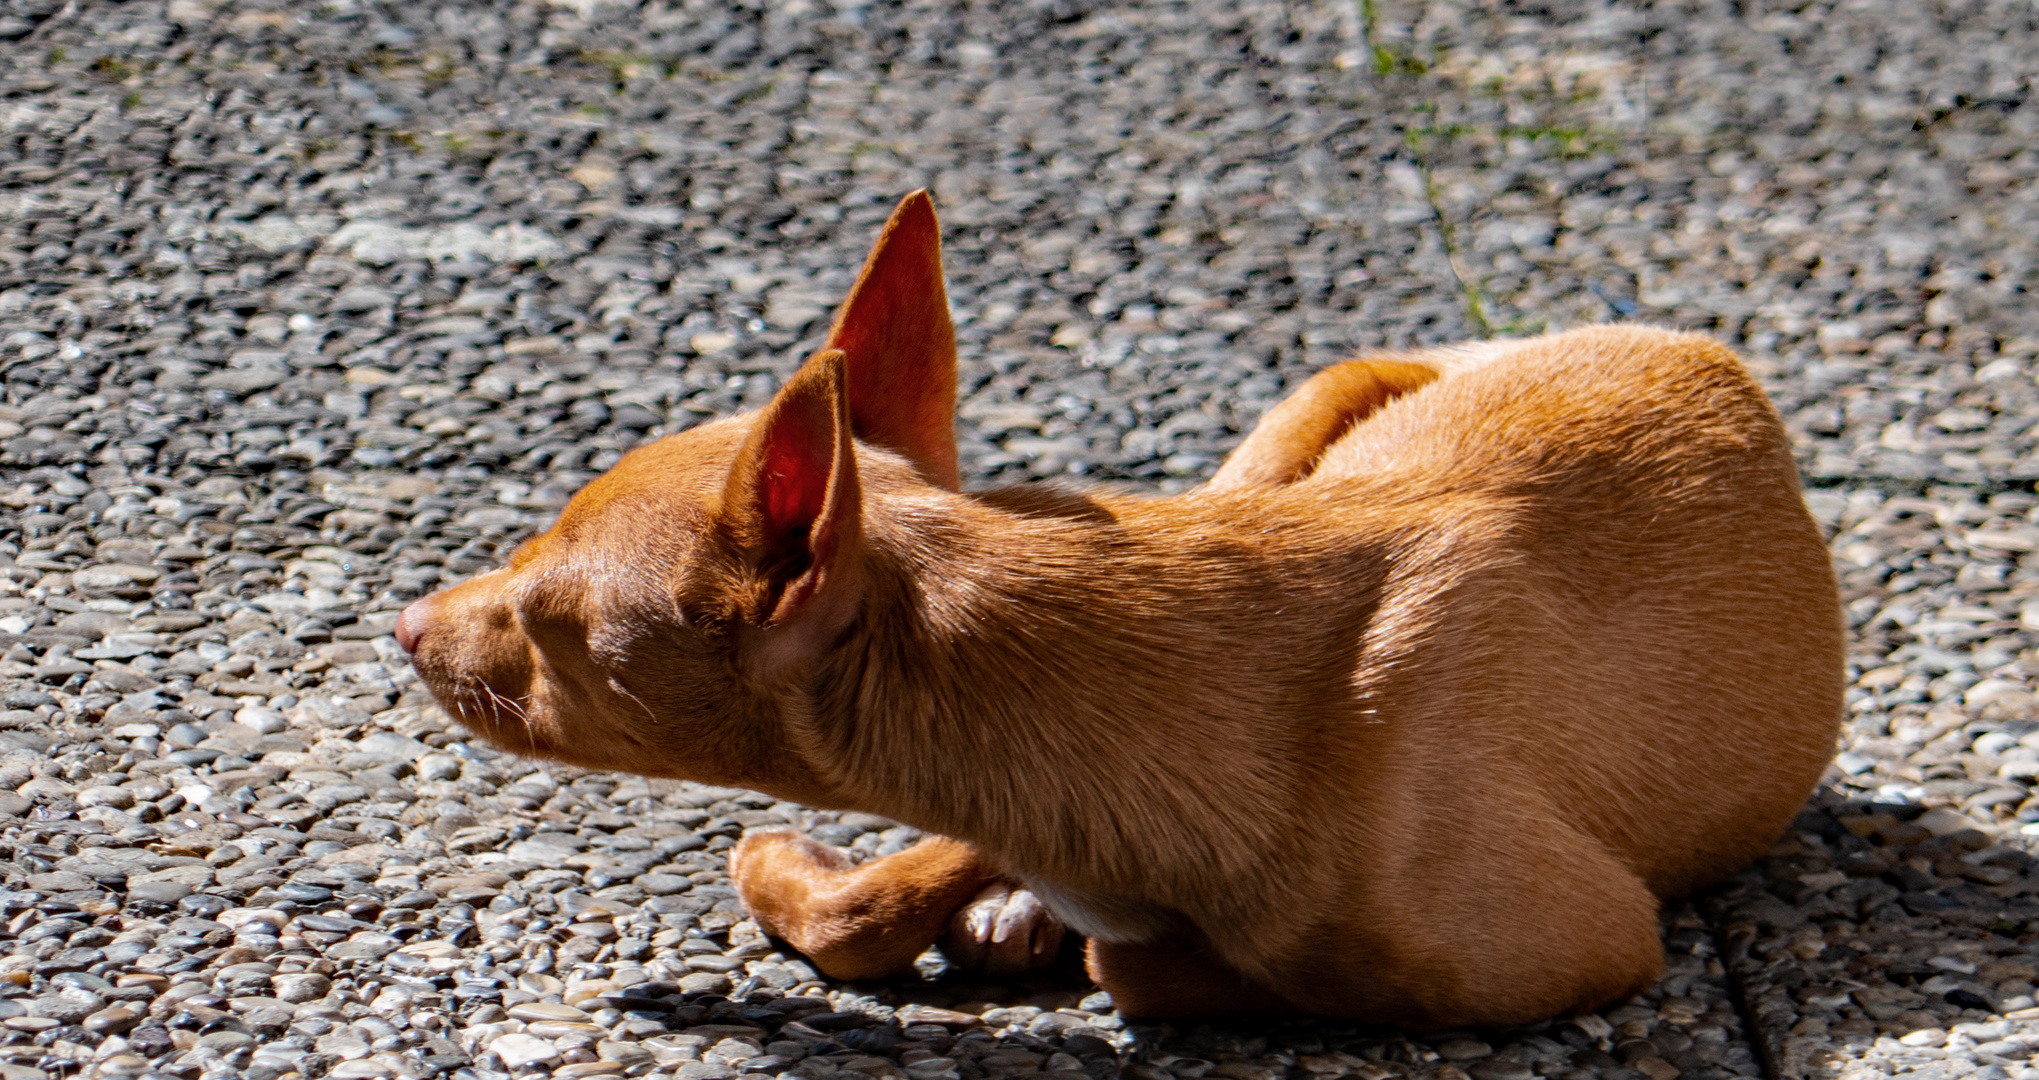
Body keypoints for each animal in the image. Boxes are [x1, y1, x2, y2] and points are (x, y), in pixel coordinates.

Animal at [397, 189, 1851, 1022]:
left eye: (556, 625)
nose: (401, 626)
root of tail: (1691, 345)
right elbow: (897, 900)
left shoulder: (1590, 942)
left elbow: (1139, 961)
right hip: (1284, 437)